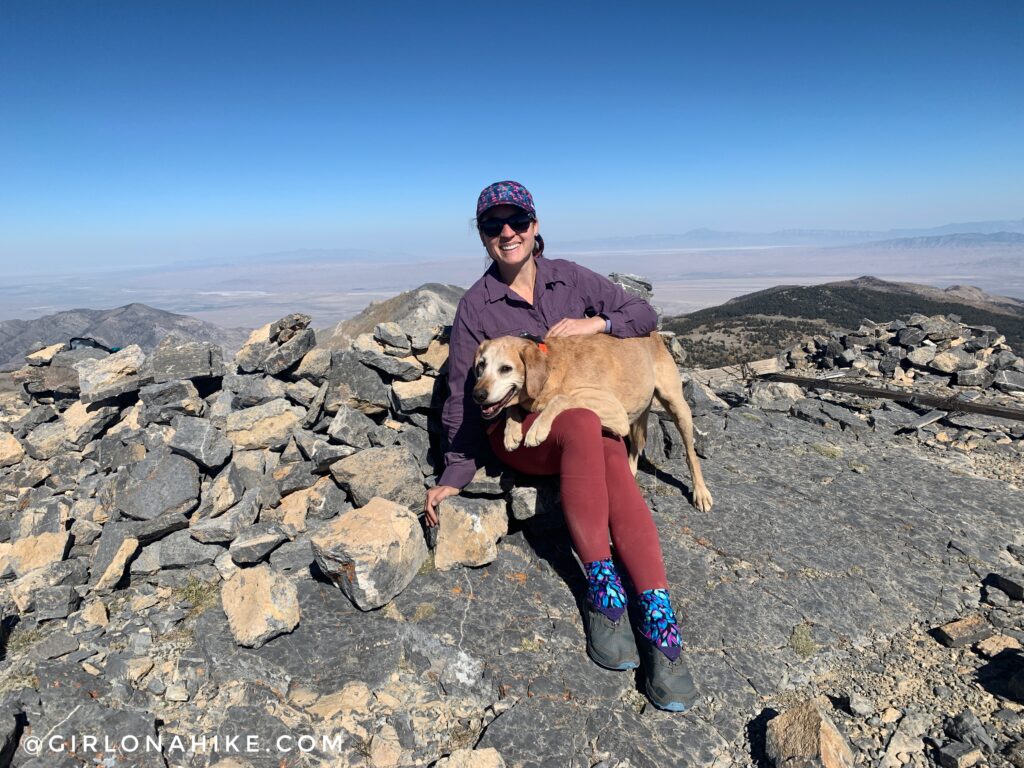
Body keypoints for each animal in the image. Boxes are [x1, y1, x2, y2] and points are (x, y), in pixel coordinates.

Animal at [471, 333, 712, 514]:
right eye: (481, 365)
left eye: (506, 368)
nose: (478, 395)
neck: (553, 369)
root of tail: (654, 333)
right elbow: (511, 407)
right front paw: (511, 432)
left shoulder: (614, 411)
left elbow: (562, 398)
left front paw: (537, 428)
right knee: (636, 446)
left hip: (676, 406)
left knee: (691, 454)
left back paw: (700, 492)